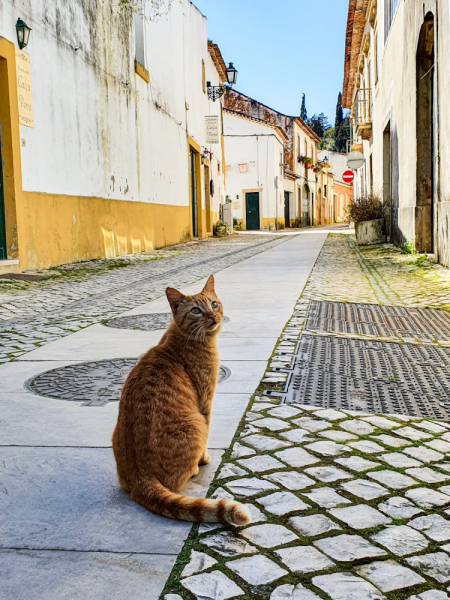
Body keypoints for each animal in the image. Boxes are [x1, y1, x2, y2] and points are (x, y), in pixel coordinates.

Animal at [111, 276, 251, 524]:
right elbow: (207, 435)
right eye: (196, 310)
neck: (182, 339)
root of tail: (141, 479)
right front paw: (203, 459)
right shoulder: (205, 402)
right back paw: (194, 468)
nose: (213, 316)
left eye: (214, 304)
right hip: (195, 424)